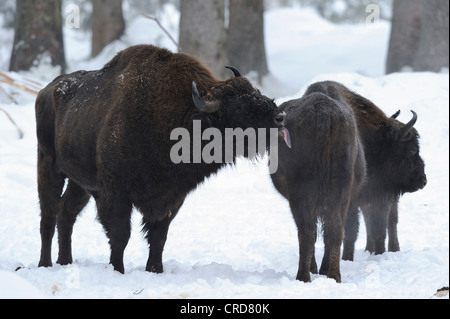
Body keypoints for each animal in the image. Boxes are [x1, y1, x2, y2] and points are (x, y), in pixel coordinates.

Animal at [36, 44, 288, 276]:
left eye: (256, 92)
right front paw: (118, 270)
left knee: (66, 213)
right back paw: (45, 264)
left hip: (80, 184)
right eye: (239, 109)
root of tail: (47, 91)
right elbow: (120, 235)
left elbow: (158, 236)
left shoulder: (172, 197)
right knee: (49, 216)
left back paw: (65, 261)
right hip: (49, 166)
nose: (280, 117)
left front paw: (155, 270)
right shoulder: (115, 193)